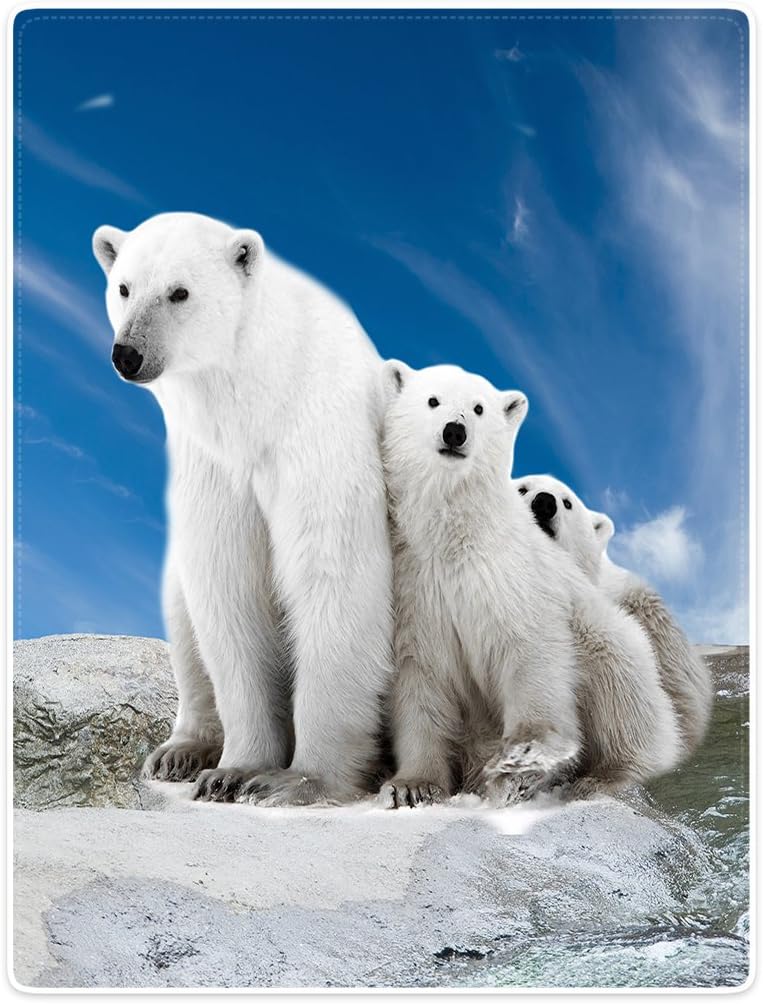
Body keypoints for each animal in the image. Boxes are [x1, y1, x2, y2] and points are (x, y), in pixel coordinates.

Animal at [92, 212, 395, 806]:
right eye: (125, 287)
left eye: (179, 291)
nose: (128, 354)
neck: (260, 399)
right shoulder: (214, 465)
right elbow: (228, 588)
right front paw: (233, 771)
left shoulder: (320, 438)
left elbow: (334, 576)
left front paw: (296, 780)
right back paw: (183, 750)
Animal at [376, 361, 680, 808]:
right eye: (432, 400)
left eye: (479, 408)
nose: (454, 431)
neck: (454, 538)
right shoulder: (416, 587)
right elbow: (421, 680)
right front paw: (411, 785)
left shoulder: (514, 577)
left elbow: (530, 652)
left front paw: (520, 768)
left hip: (609, 642)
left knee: (621, 688)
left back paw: (605, 776)